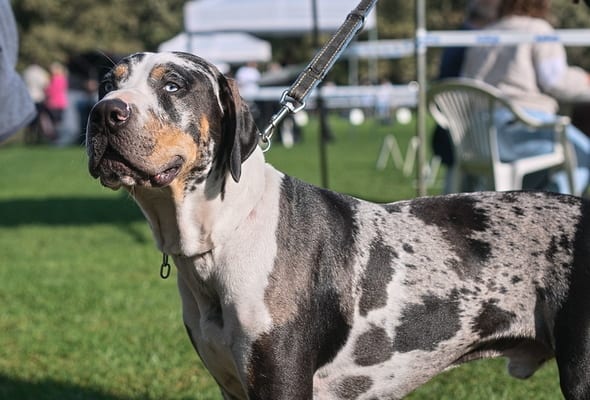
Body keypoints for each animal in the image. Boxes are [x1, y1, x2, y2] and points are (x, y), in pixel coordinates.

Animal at [85, 50, 590, 400]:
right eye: (107, 83)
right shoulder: (232, 383)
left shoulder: (282, 383)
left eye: (172, 85)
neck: (220, 236)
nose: (105, 112)